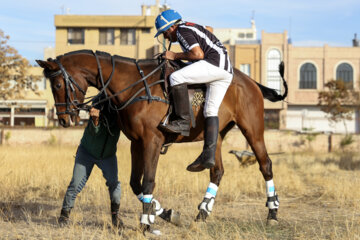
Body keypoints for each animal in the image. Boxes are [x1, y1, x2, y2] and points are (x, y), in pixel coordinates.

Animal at [36, 49, 286, 232]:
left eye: (57, 85)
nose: (64, 119)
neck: (134, 86)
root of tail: (251, 81)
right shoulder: (137, 143)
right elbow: (135, 183)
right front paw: (164, 213)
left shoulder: (152, 141)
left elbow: (148, 181)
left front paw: (146, 223)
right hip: (216, 136)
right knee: (216, 171)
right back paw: (202, 213)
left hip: (252, 130)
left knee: (265, 165)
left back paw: (273, 213)